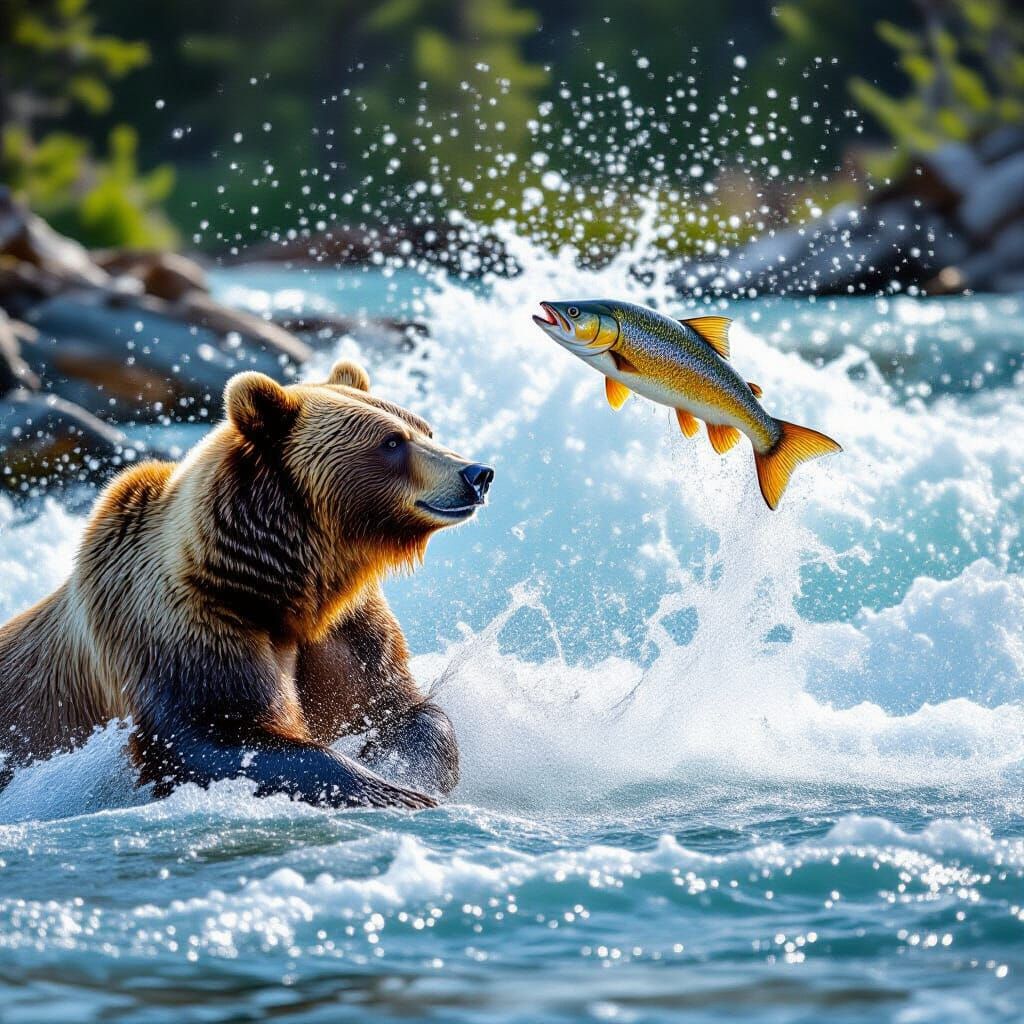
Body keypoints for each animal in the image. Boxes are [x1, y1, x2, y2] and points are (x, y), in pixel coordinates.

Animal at [0, 359, 493, 809]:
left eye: (426, 430)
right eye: (391, 441)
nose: (477, 474)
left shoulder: (346, 630)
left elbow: (401, 709)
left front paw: (405, 773)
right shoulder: (189, 625)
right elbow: (218, 737)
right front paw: (396, 793)